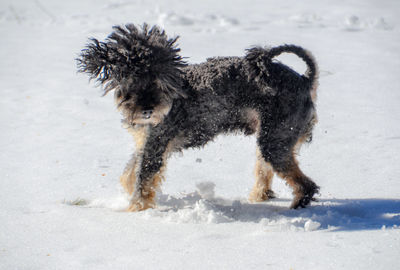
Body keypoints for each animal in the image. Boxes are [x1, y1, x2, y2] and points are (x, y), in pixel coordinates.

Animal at [77, 23, 318, 212]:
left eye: (158, 78)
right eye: (129, 78)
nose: (147, 110)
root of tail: (305, 80)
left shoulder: (155, 146)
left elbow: (142, 182)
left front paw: (136, 211)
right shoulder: (146, 143)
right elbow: (129, 175)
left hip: (275, 141)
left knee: (307, 185)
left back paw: (296, 206)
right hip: (271, 138)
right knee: (266, 173)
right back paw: (259, 197)